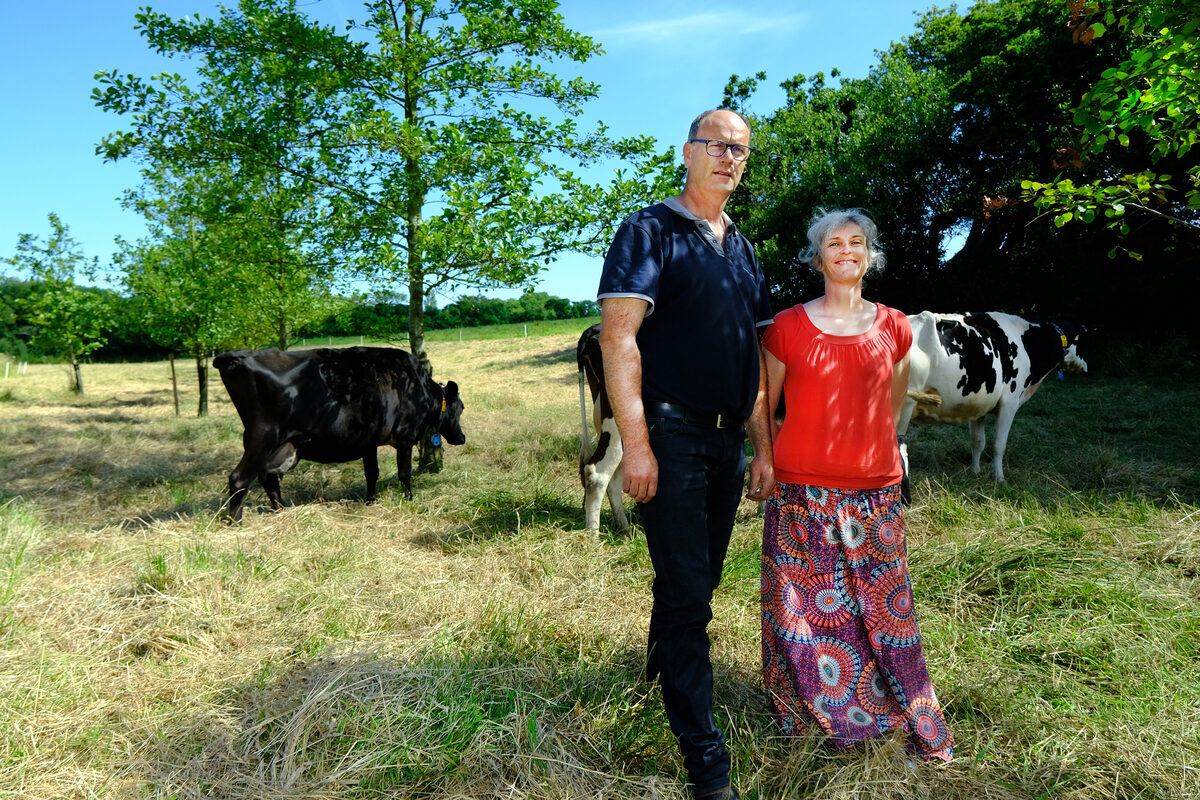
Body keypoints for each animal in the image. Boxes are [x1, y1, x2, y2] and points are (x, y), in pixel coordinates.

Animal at [212, 347, 463, 522]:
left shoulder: (369, 441)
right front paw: (409, 500)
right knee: (239, 479)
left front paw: (371, 501)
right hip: (263, 438)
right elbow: (404, 473)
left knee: (268, 479)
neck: (417, 386)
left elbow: (372, 473)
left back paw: (282, 511)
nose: (462, 438)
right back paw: (236, 523)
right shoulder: (405, 436)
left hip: (274, 444)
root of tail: (238, 355)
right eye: (460, 408)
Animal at [902, 311, 1089, 494]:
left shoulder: (978, 405)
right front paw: (999, 478)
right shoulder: (1010, 403)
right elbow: (999, 443)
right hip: (905, 406)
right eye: (1081, 342)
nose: (1086, 368)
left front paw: (974, 471)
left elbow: (977, 441)